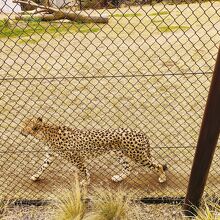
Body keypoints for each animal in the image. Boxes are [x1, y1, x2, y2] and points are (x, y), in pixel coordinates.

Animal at [21, 117, 167, 185]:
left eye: (24, 126)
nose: (20, 131)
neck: (44, 132)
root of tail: (139, 132)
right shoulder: (50, 155)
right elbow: (42, 167)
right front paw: (36, 176)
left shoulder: (76, 158)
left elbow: (84, 170)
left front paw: (86, 181)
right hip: (119, 153)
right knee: (128, 167)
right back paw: (119, 178)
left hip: (137, 155)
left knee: (158, 165)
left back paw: (162, 177)